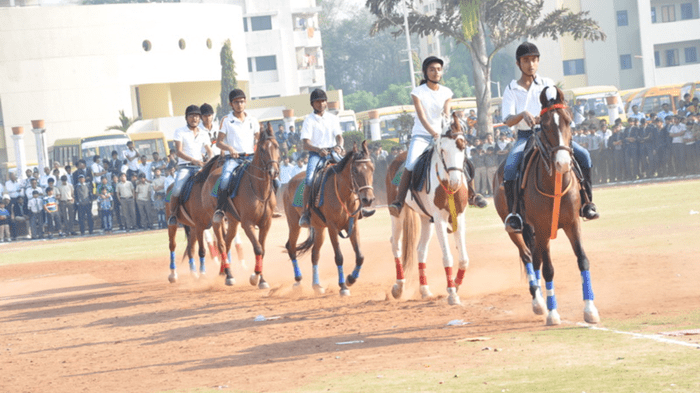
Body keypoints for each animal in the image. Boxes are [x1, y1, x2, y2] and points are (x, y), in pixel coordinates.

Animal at [200, 121, 278, 288]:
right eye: (262, 149)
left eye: (276, 146)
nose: (273, 171)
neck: (259, 189)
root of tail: (211, 175)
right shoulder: (247, 223)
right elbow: (258, 248)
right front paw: (255, 277)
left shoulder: (265, 223)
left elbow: (263, 249)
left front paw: (262, 279)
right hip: (216, 220)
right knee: (221, 244)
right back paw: (229, 276)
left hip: (233, 221)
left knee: (228, 243)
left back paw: (223, 272)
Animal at [282, 140, 374, 294]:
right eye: (355, 170)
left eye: (372, 169)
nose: (368, 199)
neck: (344, 195)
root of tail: (288, 183)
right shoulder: (332, 227)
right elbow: (339, 257)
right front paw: (343, 286)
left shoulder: (353, 225)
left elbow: (360, 256)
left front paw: (350, 279)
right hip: (294, 224)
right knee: (291, 247)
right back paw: (298, 280)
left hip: (319, 229)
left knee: (314, 254)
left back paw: (316, 285)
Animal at [386, 112, 474, 304]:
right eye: (443, 150)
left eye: (462, 147)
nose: (455, 182)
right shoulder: (440, 219)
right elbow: (447, 257)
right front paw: (452, 293)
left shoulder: (459, 216)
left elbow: (464, 258)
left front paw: (455, 284)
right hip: (397, 215)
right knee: (395, 244)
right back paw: (398, 287)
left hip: (426, 219)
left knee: (421, 250)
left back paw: (425, 290)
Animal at [492, 85, 600, 324]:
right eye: (546, 124)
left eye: (569, 120)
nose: (563, 163)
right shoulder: (542, 229)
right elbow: (549, 269)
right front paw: (552, 313)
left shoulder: (572, 224)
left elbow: (583, 260)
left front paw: (590, 310)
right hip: (517, 230)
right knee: (528, 257)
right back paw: (539, 302)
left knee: (535, 259)